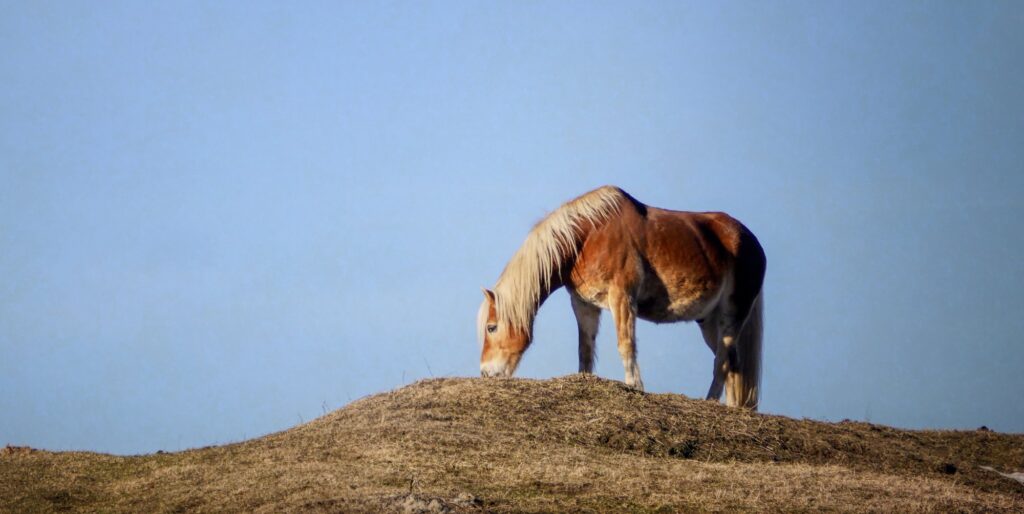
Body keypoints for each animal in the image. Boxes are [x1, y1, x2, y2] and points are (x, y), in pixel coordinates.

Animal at [475, 184, 765, 409]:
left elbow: (626, 345)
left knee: (722, 361)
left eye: (491, 327)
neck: (587, 237)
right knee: (732, 364)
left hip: (731, 314)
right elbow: (585, 349)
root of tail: (751, 242)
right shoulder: (584, 303)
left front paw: (635, 387)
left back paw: (710, 402)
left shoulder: (622, 298)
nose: (486, 373)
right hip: (708, 321)